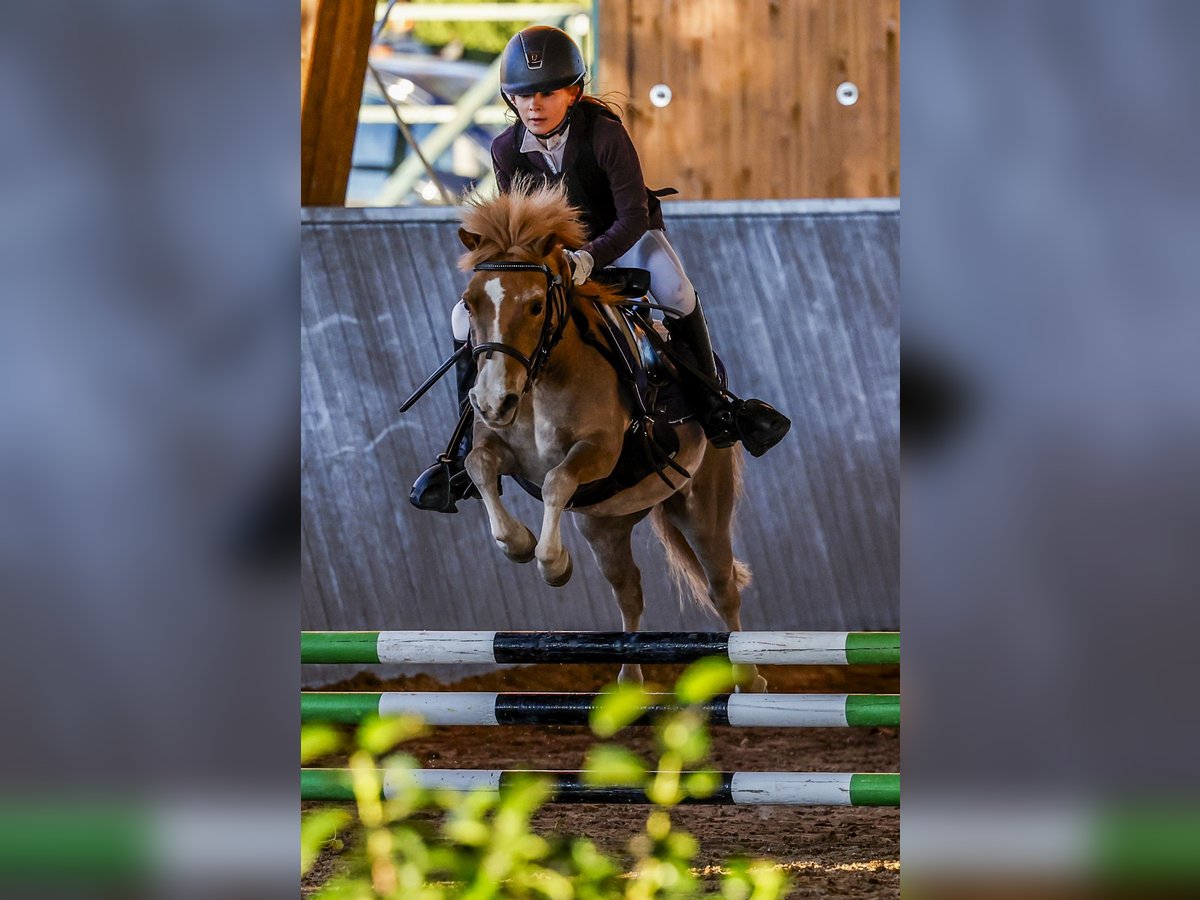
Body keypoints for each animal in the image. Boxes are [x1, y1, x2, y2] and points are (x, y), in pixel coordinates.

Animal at [453, 181, 763, 691]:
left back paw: (748, 680)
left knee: (722, 587)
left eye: (536, 304)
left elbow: (558, 479)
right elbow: (477, 464)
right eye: (470, 302)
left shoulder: (599, 451)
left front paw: (553, 564)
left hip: (700, 506)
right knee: (630, 591)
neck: (542, 376)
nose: (493, 400)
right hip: (605, 524)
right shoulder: (499, 448)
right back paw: (629, 682)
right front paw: (519, 544)